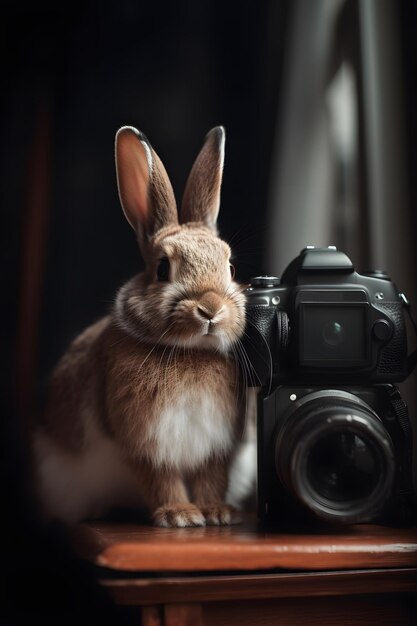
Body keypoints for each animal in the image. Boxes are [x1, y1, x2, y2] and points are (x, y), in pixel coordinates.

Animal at [32, 124, 252, 524]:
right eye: (163, 269)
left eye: (230, 267)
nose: (211, 309)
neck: (190, 353)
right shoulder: (143, 443)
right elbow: (160, 478)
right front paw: (181, 516)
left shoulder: (219, 445)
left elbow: (212, 478)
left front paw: (218, 513)